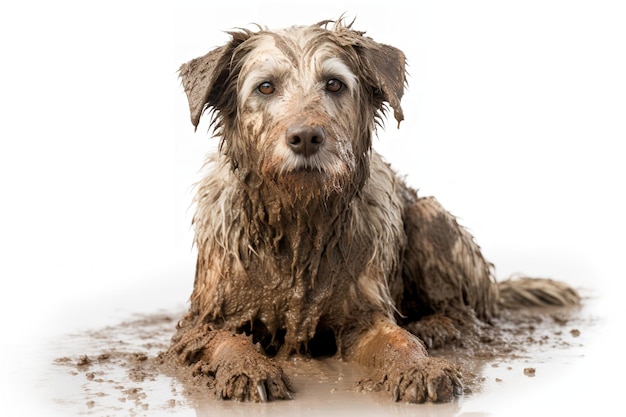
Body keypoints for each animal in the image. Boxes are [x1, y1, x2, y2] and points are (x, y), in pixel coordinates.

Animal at [165, 19, 576, 404]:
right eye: (265, 87)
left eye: (334, 84)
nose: (306, 138)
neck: (300, 222)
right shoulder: (201, 321)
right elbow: (224, 340)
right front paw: (248, 369)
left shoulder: (362, 316)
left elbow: (398, 340)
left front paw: (419, 367)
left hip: (428, 217)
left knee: (466, 313)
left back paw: (436, 327)